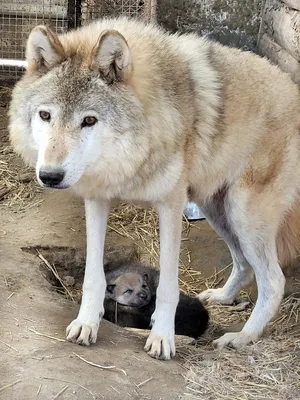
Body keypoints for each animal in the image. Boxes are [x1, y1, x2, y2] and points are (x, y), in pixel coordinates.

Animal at [8, 16, 300, 360]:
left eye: (89, 120)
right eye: (45, 115)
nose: (50, 176)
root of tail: (293, 88)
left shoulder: (171, 206)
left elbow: (169, 286)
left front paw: (162, 337)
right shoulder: (97, 198)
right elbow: (93, 275)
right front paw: (87, 323)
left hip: (244, 216)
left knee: (273, 280)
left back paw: (242, 336)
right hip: (219, 212)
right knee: (243, 264)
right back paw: (221, 298)